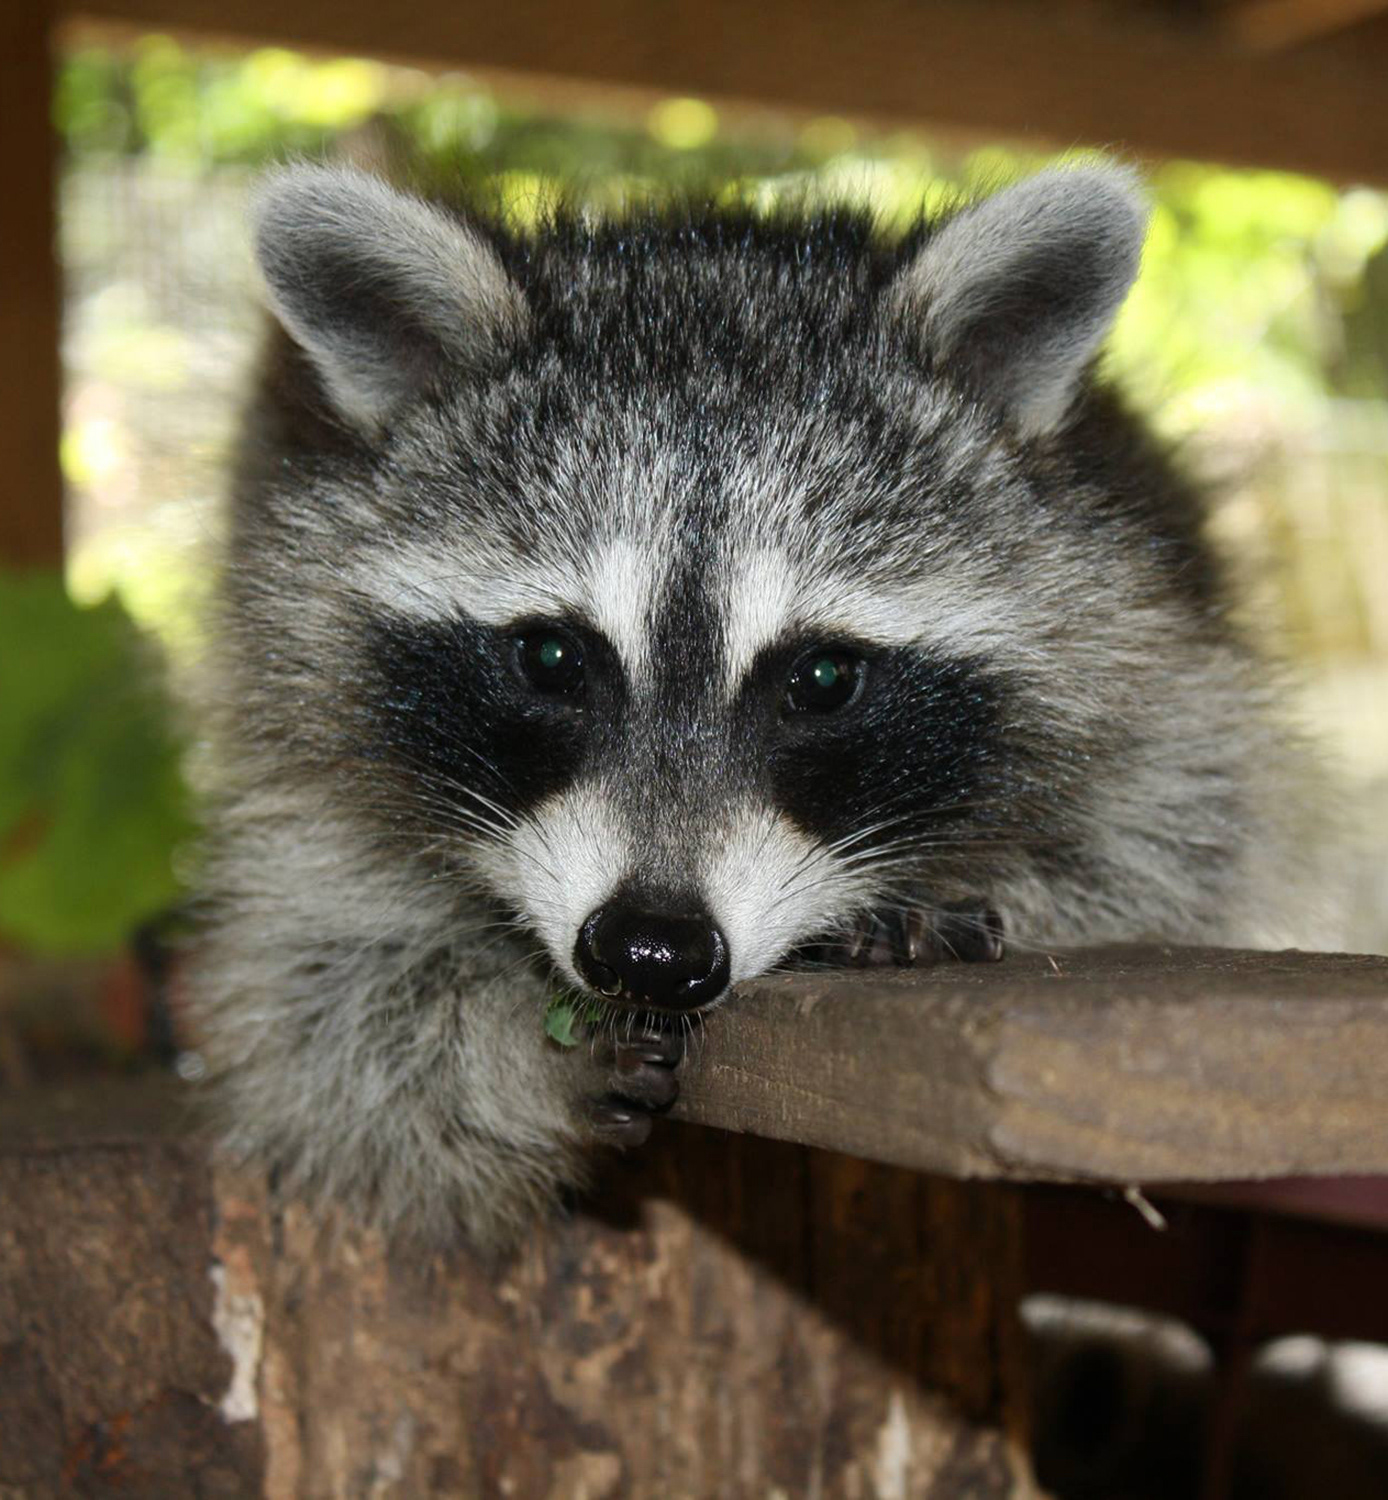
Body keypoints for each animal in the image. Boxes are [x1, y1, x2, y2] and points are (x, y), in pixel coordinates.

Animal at [189, 158, 1326, 1248]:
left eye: (820, 679)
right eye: (551, 658)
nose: (651, 952)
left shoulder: (1148, 648)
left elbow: (1163, 853)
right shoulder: (305, 734)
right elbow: (331, 1017)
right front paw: (517, 1058)